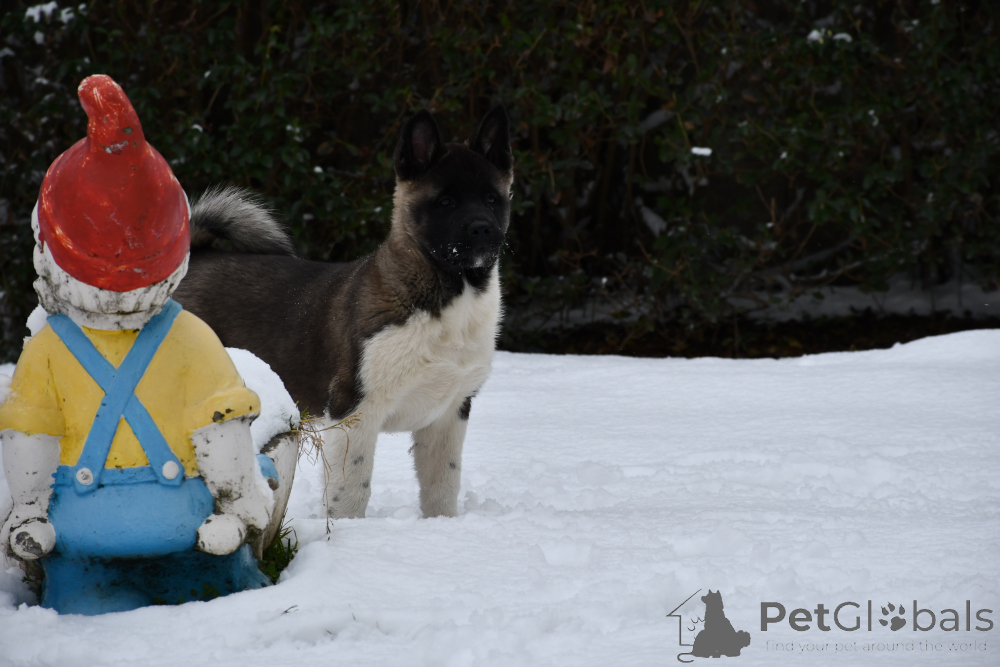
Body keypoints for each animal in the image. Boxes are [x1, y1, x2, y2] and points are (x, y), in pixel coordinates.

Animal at [173, 105, 513, 520]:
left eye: (492, 199)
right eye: (446, 202)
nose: (483, 229)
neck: (446, 292)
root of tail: (196, 258)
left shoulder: (449, 414)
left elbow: (442, 487)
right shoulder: (352, 409)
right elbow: (349, 493)